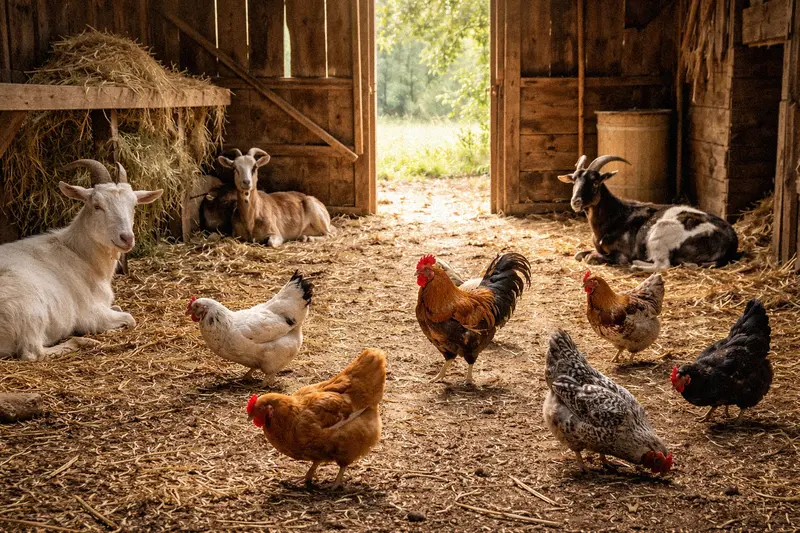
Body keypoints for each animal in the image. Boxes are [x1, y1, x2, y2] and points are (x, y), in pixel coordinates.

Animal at [0, 160, 163, 360]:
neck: (79, 254)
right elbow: (129, 318)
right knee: (33, 352)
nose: (126, 238)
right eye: (97, 205)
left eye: (134, 205)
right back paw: (83, 342)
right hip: (28, 310)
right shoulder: (90, 314)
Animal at [559, 155, 738, 272]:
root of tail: (731, 241)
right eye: (574, 181)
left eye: (595, 182)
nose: (576, 201)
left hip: (661, 232)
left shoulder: (622, 254)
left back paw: (636, 264)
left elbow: (593, 258)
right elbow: (579, 255)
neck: (614, 216)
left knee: (662, 265)